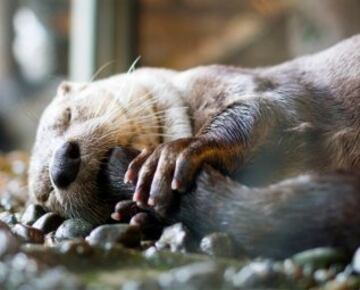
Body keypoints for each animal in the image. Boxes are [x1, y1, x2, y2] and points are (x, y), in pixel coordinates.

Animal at [28, 35, 360, 258]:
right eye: (47, 193)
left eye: (68, 114)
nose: (62, 163)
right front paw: (138, 213)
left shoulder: (258, 86)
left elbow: (265, 110)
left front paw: (173, 155)